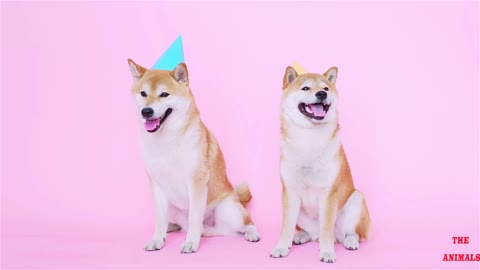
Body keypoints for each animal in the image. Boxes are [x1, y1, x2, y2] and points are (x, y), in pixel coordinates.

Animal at [127, 59, 260, 253]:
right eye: (143, 93)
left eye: (164, 94)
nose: (146, 111)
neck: (167, 140)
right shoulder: (157, 185)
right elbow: (159, 220)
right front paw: (157, 238)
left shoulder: (196, 182)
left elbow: (194, 218)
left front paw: (190, 242)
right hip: (174, 208)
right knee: (191, 227)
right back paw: (177, 228)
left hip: (229, 211)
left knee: (243, 224)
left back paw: (249, 233)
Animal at [270, 66, 372, 262]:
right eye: (305, 88)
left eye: (325, 88)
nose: (321, 94)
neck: (309, 138)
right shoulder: (290, 192)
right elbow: (286, 227)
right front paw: (281, 247)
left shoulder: (328, 194)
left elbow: (326, 229)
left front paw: (326, 252)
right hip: (300, 213)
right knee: (311, 233)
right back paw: (301, 236)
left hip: (356, 200)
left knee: (351, 233)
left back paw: (350, 241)